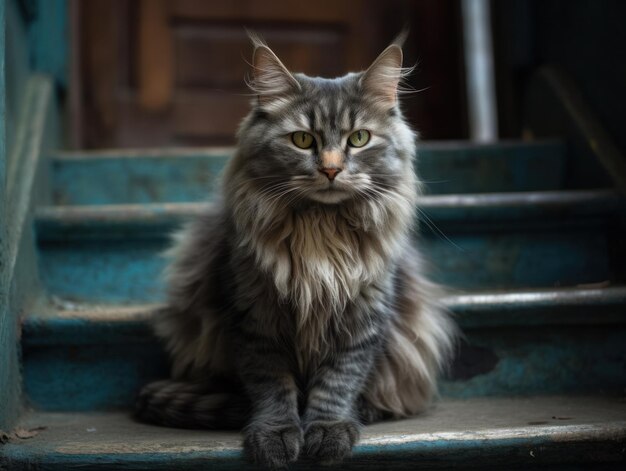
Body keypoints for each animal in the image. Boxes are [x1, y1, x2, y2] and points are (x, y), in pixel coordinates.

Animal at [136, 34, 456, 468]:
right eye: (303, 140)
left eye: (359, 138)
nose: (331, 169)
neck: (320, 228)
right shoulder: (254, 316)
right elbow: (272, 385)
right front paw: (276, 435)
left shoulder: (363, 317)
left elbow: (338, 381)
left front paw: (328, 431)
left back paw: (367, 410)